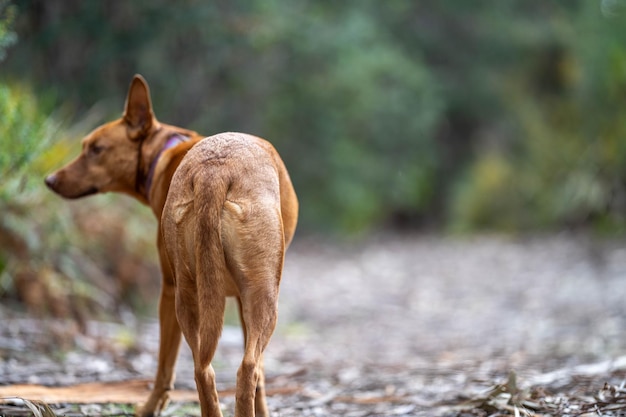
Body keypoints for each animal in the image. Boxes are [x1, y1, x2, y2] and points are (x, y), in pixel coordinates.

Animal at [44, 75, 298, 416]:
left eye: (96, 149)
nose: (49, 179)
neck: (165, 151)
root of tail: (214, 170)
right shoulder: (176, 290)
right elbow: (175, 366)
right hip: (260, 299)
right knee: (245, 369)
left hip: (190, 296)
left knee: (204, 370)